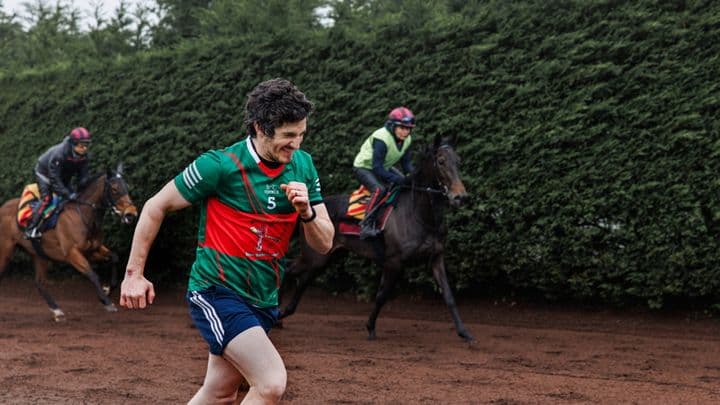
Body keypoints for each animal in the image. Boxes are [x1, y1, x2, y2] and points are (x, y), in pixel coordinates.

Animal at [0, 163, 138, 321]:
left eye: (126, 186)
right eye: (114, 189)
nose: (131, 214)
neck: (83, 215)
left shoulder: (92, 250)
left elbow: (114, 257)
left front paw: (108, 288)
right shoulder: (72, 253)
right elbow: (92, 274)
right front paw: (107, 301)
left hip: (39, 255)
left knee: (40, 283)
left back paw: (57, 311)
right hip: (5, 251)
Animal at [280, 134, 474, 342]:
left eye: (458, 161)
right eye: (441, 161)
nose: (460, 197)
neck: (420, 216)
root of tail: (309, 209)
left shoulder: (436, 258)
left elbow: (449, 296)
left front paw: (464, 332)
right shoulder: (394, 262)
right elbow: (382, 295)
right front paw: (370, 327)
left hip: (328, 257)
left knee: (303, 280)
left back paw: (282, 314)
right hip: (314, 256)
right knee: (289, 270)